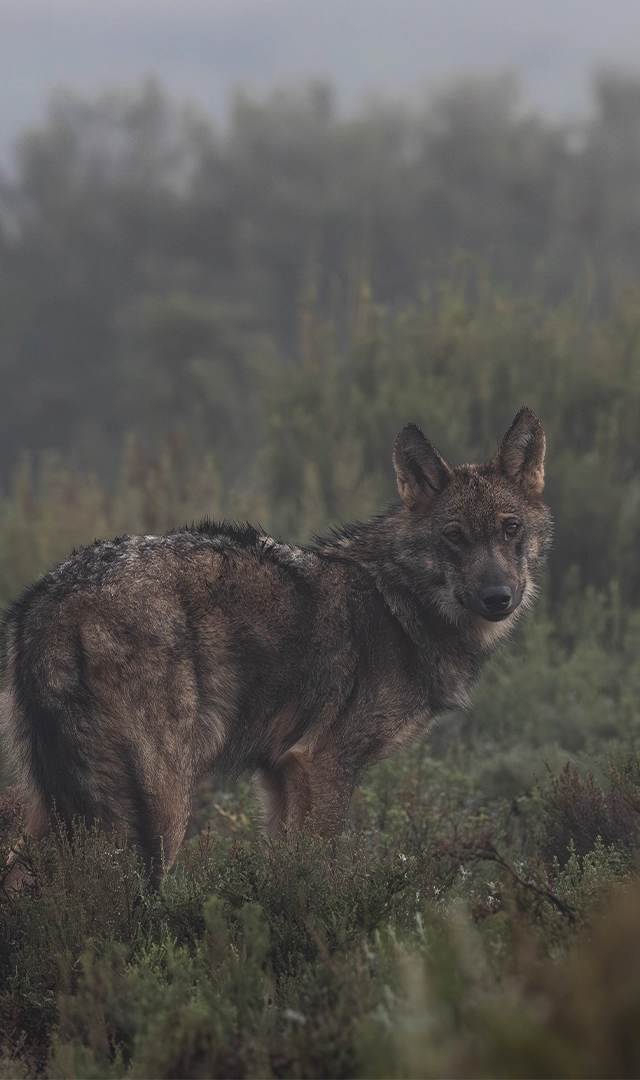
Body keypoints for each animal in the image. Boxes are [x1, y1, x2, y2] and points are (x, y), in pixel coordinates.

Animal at [0, 408, 551, 888]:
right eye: (454, 536)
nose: (498, 597)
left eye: (511, 528)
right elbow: (319, 873)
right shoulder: (324, 764)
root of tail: (45, 598)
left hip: (55, 805)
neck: (397, 602)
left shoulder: (278, 775)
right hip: (160, 808)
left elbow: (283, 869)